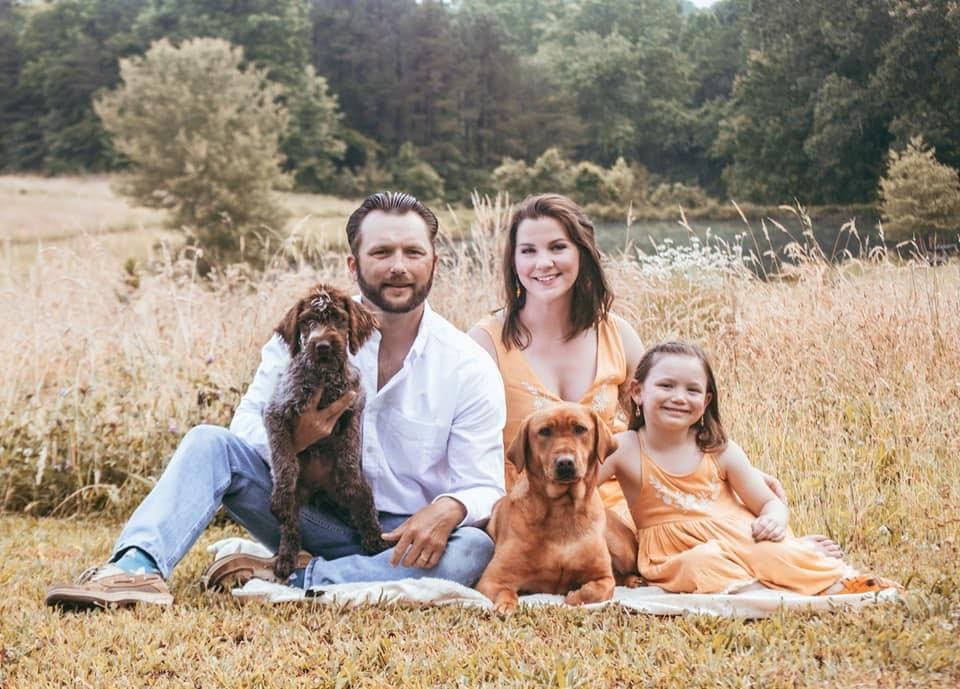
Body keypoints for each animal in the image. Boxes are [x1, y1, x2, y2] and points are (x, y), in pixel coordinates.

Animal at [474, 404, 636, 612]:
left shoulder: (603, 576)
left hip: (623, 549)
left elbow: (598, 590)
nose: (565, 462)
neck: (563, 510)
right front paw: (506, 605)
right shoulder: (492, 578)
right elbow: (506, 591)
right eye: (544, 431)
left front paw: (575, 596)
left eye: (580, 429)